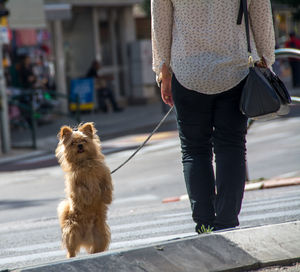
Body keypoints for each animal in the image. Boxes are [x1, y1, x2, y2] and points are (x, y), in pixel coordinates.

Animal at [55, 122, 113, 258]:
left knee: (97, 249)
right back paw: (70, 256)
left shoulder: (104, 175)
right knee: (71, 251)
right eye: (73, 143)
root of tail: (85, 239)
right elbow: (83, 190)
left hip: (101, 236)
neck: (85, 163)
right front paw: (93, 193)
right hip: (71, 232)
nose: (80, 145)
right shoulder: (75, 184)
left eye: (84, 140)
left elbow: (106, 185)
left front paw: (106, 197)